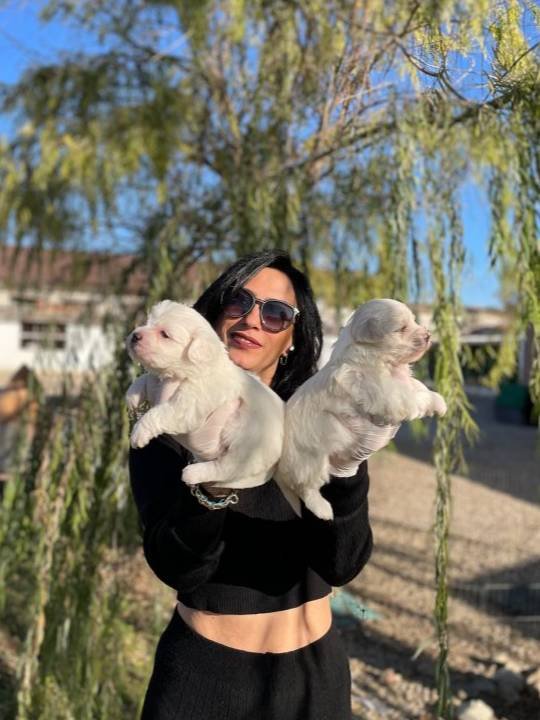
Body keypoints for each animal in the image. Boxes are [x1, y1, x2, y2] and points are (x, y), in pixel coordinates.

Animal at [125, 300, 284, 491]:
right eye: (147, 322)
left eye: (165, 334)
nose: (135, 335)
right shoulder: (159, 380)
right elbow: (147, 378)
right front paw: (132, 395)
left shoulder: (187, 404)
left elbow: (158, 413)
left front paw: (138, 432)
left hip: (245, 443)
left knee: (226, 468)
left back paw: (193, 473)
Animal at [275, 299, 447, 520]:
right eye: (402, 328)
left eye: (415, 321)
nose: (428, 335)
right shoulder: (386, 394)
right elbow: (413, 397)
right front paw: (435, 403)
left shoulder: (399, 382)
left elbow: (416, 386)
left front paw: (439, 401)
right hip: (311, 461)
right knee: (306, 488)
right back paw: (323, 510)